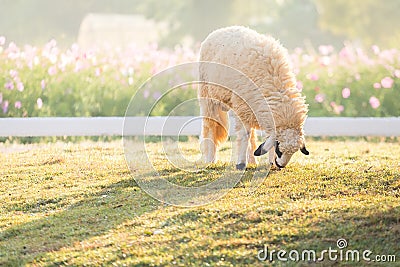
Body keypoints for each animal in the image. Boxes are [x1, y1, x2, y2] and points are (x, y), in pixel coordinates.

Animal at [199, 26, 310, 171]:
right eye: (279, 149)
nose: (280, 165)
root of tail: (221, 29)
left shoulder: (253, 109)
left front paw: (269, 163)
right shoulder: (242, 107)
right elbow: (244, 135)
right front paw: (241, 164)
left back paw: (252, 160)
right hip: (208, 96)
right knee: (211, 127)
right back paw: (210, 159)